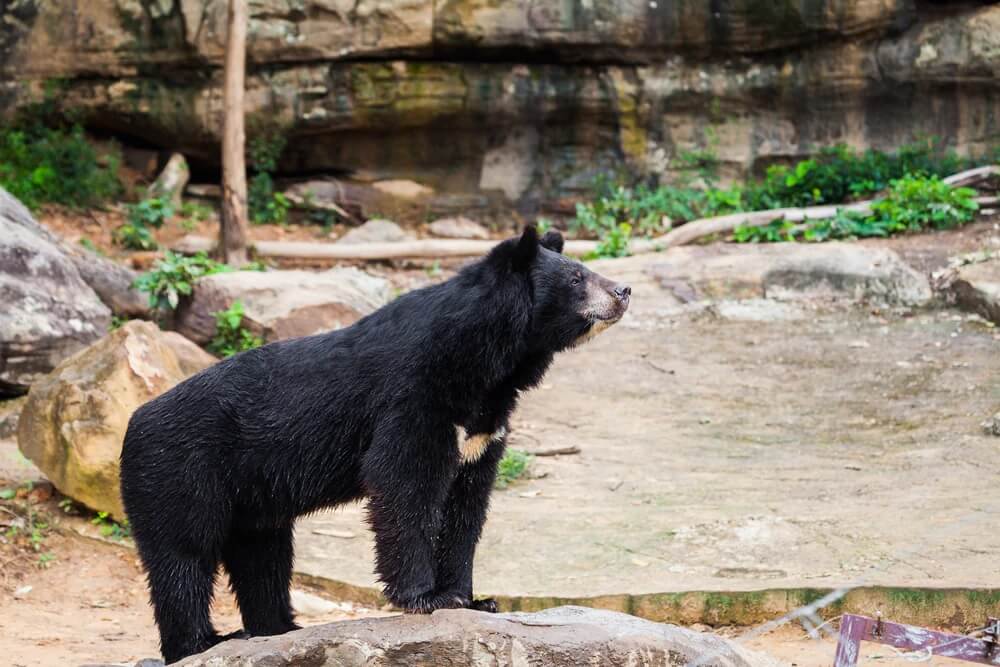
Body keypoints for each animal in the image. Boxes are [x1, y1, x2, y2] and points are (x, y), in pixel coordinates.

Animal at [119, 226, 631, 663]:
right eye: (577, 278)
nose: (624, 291)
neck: (489, 360)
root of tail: (134, 422)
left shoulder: (484, 426)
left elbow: (467, 502)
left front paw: (474, 598)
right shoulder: (413, 396)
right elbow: (405, 483)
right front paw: (428, 597)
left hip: (251, 497)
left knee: (261, 557)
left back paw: (277, 629)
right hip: (180, 472)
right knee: (183, 557)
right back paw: (203, 642)